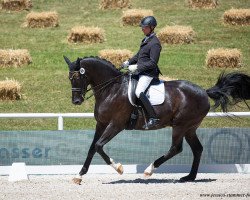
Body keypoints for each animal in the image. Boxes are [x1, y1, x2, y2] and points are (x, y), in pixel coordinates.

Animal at [63, 55, 250, 184]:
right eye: (69, 78)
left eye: (78, 77)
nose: (76, 101)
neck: (111, 89)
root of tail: (204, 91)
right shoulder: (101, 124)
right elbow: (92, 148)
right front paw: (79, 176)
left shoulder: (116, 124)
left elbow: (99, 146)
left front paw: (119, 168)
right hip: (190, 128)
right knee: (197, 149)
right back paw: (189, 177)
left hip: (180, 125)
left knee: (176, 148)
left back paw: (149, 170)